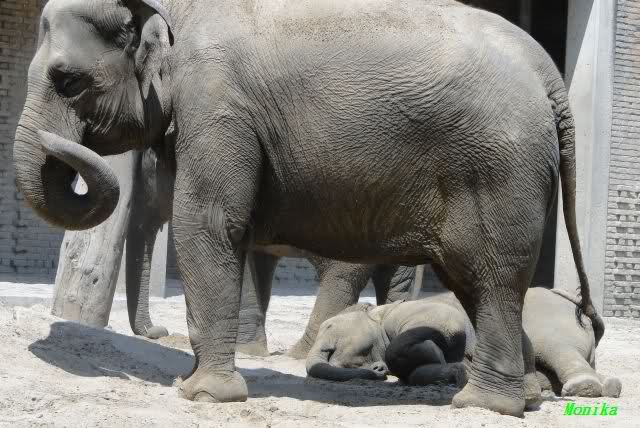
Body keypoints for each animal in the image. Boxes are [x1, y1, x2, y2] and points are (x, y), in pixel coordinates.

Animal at [13, 0, 602, 416]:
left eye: (68, 80)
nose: (157, 337)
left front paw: (203, 396)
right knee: (476, 284)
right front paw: (193, 384)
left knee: (492, 278)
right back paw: (526, 397)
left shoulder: (217, 106)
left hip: (498, 171)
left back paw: (484, 405)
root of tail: (549, 74)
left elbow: (207, 224)